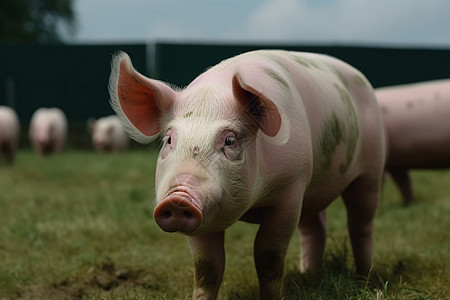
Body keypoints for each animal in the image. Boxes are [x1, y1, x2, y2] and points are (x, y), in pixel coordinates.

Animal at [108, 49, 384, 298]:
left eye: (229, 140)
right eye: (168, 140)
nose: (178, 197)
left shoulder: (290, 190)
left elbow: (267, 256)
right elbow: (207, 267)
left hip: (371, 169)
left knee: (360, 223)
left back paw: (365, 279)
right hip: (314, 188)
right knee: (315, 227)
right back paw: (308, 274)